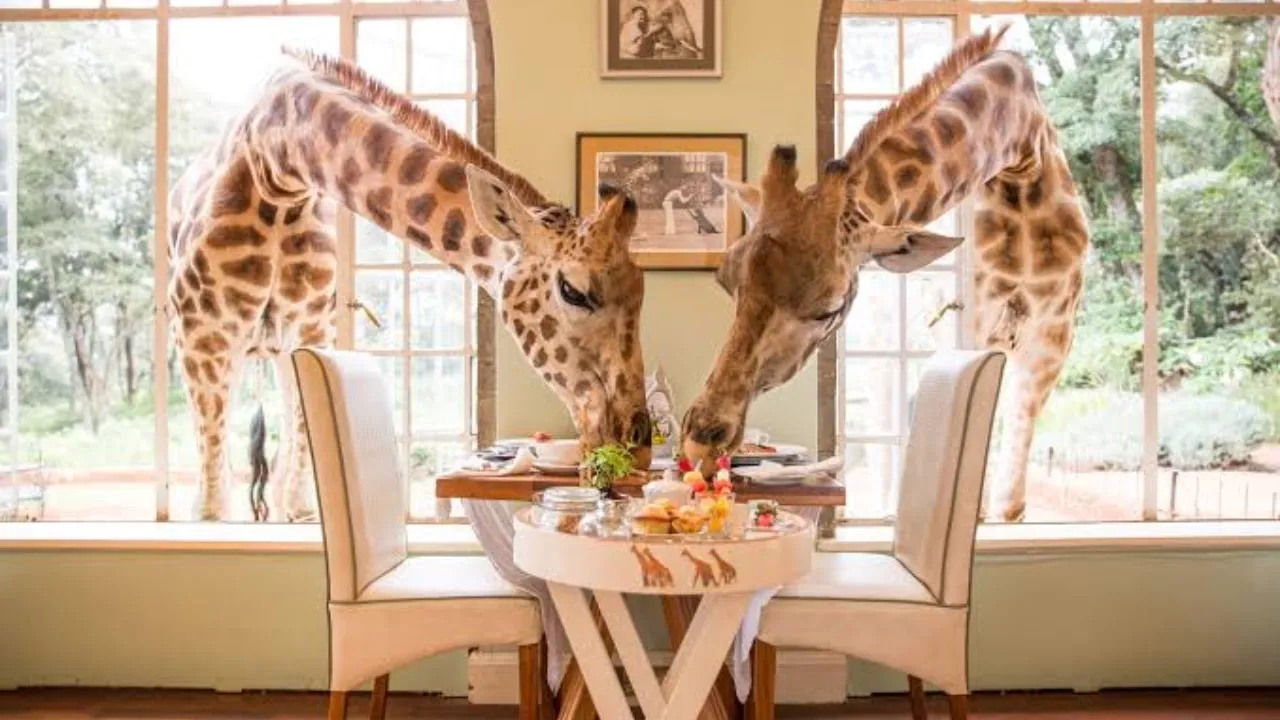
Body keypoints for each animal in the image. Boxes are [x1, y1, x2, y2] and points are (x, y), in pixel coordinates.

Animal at [169, 49, 651, 522]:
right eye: (573, 291)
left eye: (642, 293)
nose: (639, 445)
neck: (279, 165)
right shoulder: (202, 337)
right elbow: (211, 510)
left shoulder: (311, 332)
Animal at [681, 26, 1090, 522]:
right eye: (726, 282)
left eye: (830, 308)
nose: (700, 443)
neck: (1021, 151)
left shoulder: (1048, 338)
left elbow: (1009, 501)